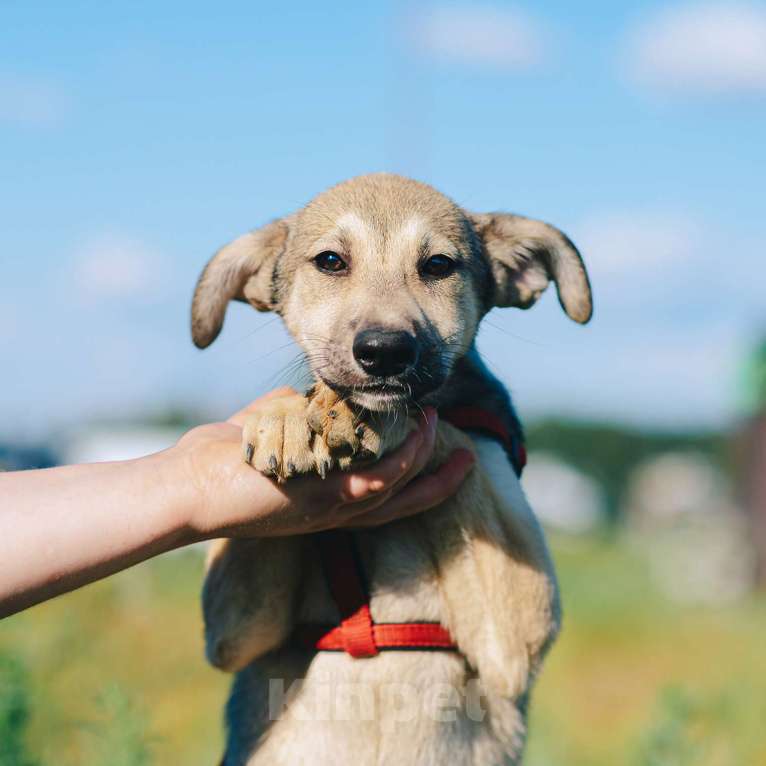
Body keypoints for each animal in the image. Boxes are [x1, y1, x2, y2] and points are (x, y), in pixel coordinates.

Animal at [192, 176, 592, 766]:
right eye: (331, 261)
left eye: (438, 266)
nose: (384, 352)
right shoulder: (234, 630)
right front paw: (286, 417)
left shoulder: (520, 631)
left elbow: (442, 426)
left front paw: (366, 417)